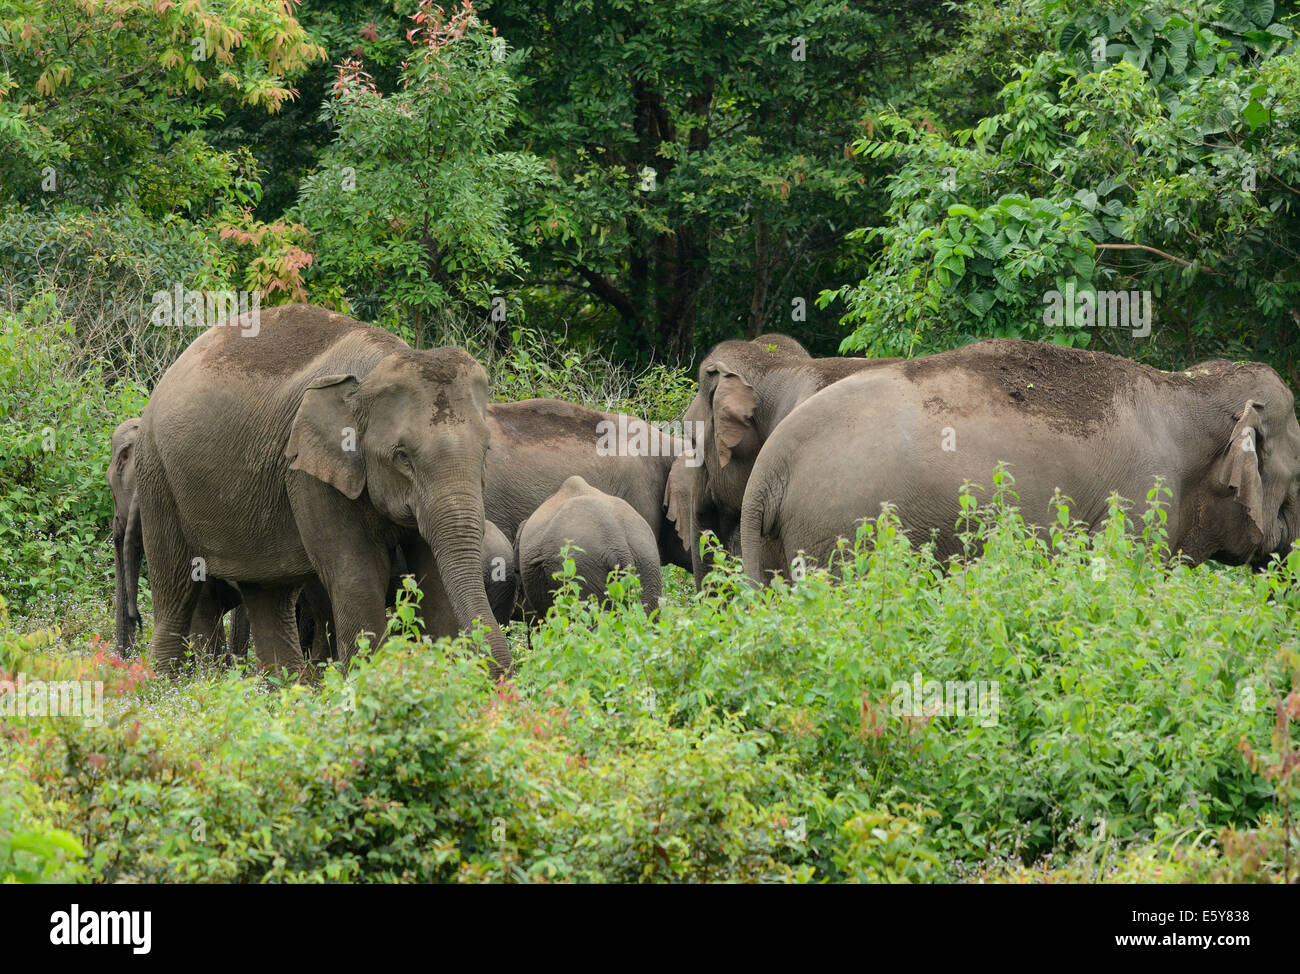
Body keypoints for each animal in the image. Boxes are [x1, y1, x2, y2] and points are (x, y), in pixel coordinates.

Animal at [133, 303, 512, 676]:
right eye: (402, 456)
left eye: (487, 450)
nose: (498, 674)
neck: (376, 366)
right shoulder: (308, 470)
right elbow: (357, 576)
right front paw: (369, 680)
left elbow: (432, 577)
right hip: (156, 473)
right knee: (176, 584)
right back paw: (166, 685)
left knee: (268, 592)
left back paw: (282, 687)